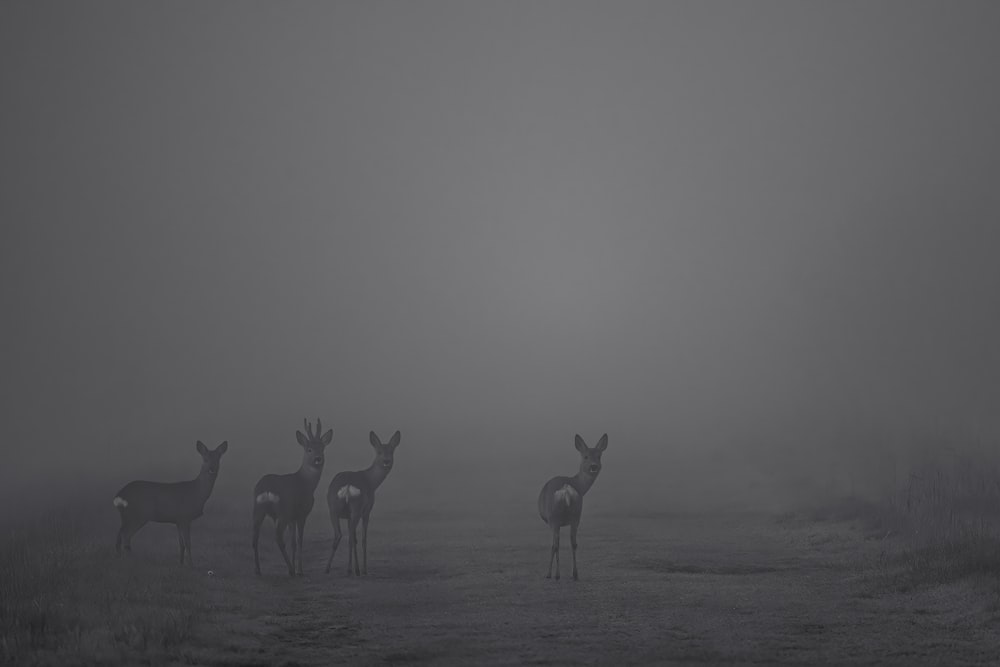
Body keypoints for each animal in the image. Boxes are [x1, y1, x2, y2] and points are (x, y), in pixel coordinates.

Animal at [113, 440, 229, 568]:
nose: (212, 469)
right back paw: (130, 560)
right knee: (126, 536)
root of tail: (119, 495)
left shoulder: (178, 520)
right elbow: (188, 543)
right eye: (205, 459)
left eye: (218, 459)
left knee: (120, 535)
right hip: (139, 514)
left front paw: (181, 563)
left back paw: (121, 558)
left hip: (127, 516)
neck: (197, 493)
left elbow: (181, 544)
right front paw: (191, 564)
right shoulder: (185, 517)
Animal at [250, 420, 332, 576]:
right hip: (283, 511)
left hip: (257, 509)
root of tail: (267, 490)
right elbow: (299, 541)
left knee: (254, 536)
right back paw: (290, 570)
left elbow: (293, 542)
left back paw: (258, 569)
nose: (318, 459)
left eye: (322, 448)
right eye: (309, 449)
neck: (307, 483)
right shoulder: (301, 514)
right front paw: (300, 569)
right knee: (278, 537)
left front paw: (296, 566)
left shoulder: (292, 518)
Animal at [326, 430, 400, 576]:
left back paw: (328, 568)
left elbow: (354, 538)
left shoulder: (348, 516)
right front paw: (364, 569)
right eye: (379, 452)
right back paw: (352, 569)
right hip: (356, 507)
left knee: (340, 535)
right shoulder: (367, 510)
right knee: (349, 536)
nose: (386, 461)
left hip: (333, 508)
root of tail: (348, 487)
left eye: (391, 451)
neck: (371, 481)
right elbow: (363, 539)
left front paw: (357, 568)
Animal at [540, 436, 608, 580]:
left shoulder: (552, 521)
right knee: (574, 543)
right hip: (576, 515)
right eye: (586, 456)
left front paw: (550, 574)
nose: (594, 466)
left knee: (556, 545)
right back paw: (575, 574)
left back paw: (554, 575)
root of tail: (566, 491)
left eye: (599, 456)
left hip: (554, 517)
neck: (579, 485)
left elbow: (554, 545)